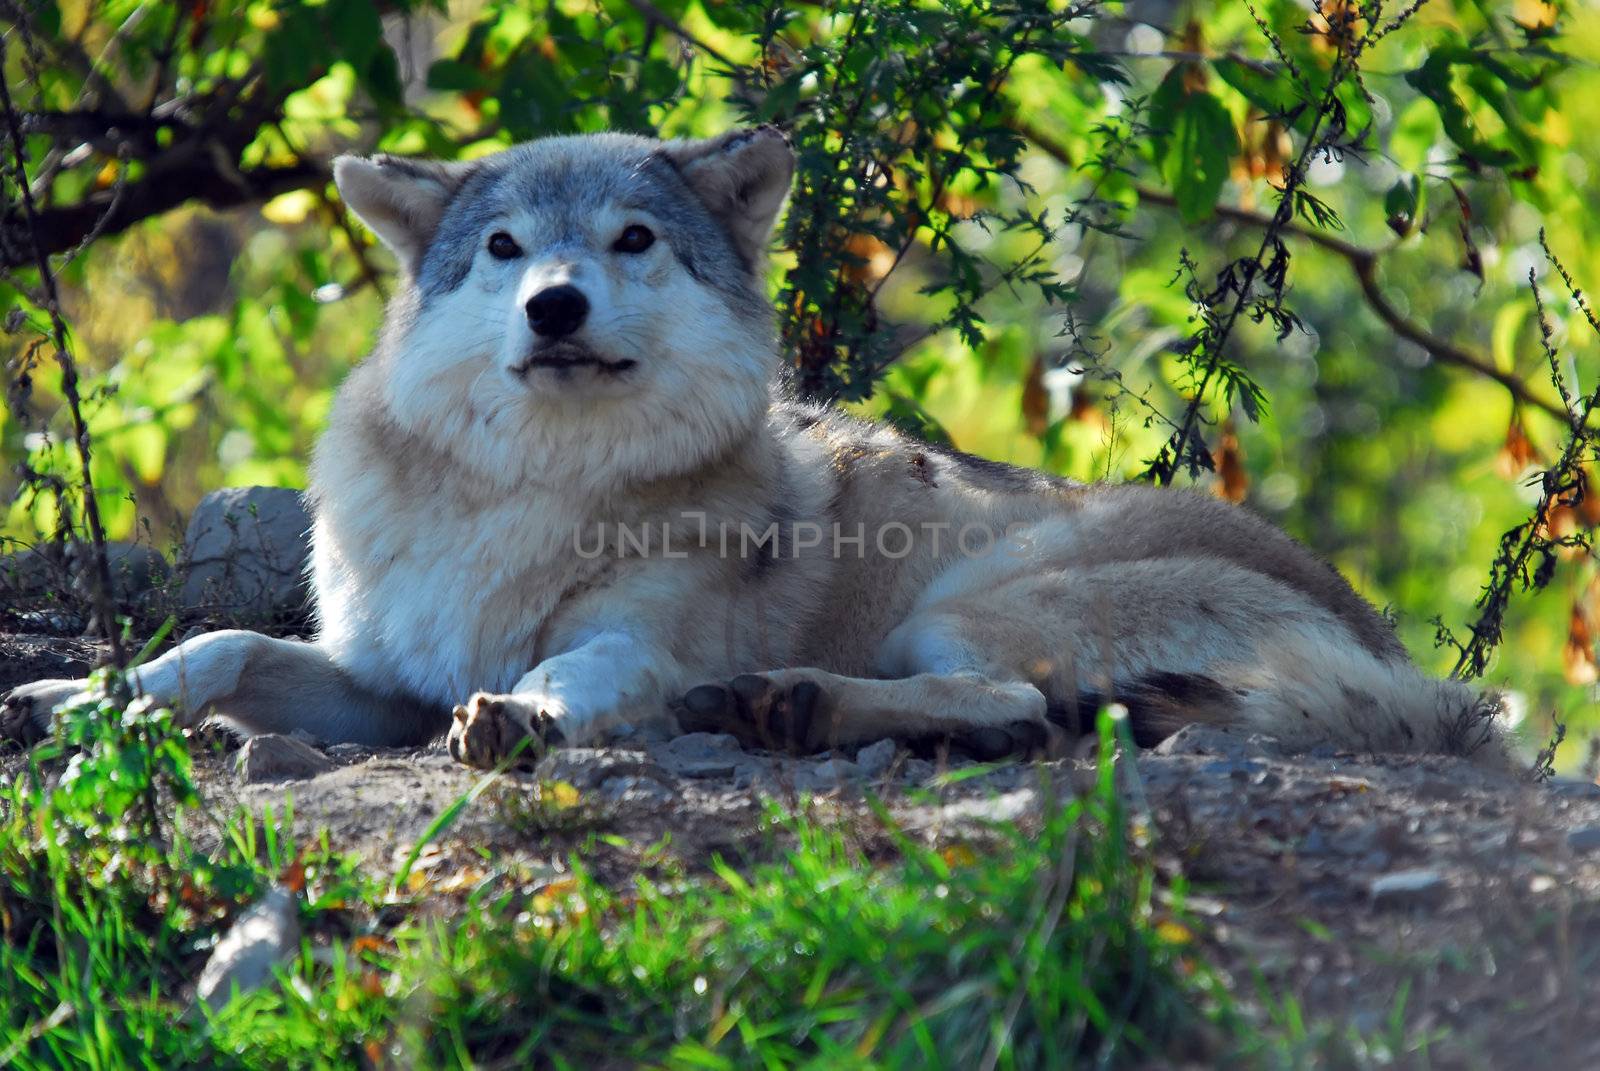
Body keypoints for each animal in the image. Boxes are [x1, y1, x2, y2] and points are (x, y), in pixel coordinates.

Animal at [0, 127, 1504, 768]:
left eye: (631, 241)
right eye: (504, 249)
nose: (555, 305)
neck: (529, 496)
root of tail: (1395, 660)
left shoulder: (627, 642)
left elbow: (575, 670)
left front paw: (529, 717)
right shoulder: (384, 679)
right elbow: (221, 649)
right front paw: (87, 697)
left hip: (971, 603)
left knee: (1018, 707)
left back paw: (792, 706)